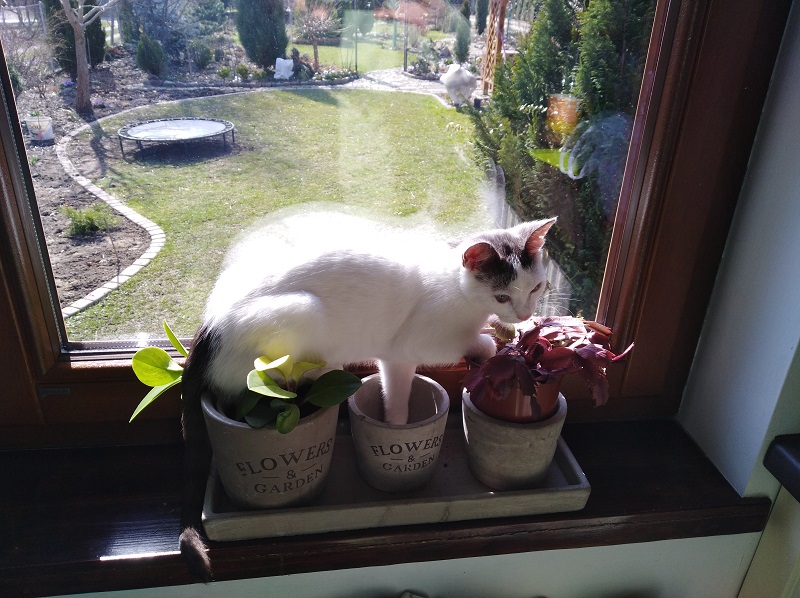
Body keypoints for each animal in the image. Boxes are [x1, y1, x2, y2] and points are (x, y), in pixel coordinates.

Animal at [178, 212, 556, 581]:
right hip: (302, 317)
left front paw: (512, 329)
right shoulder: (411, 348)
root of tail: (208, 328)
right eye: (502, 296)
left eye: (536, 287)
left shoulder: (395, 356)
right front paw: (489, 342)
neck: (456, 286)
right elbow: (425, 376)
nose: (524, 313)